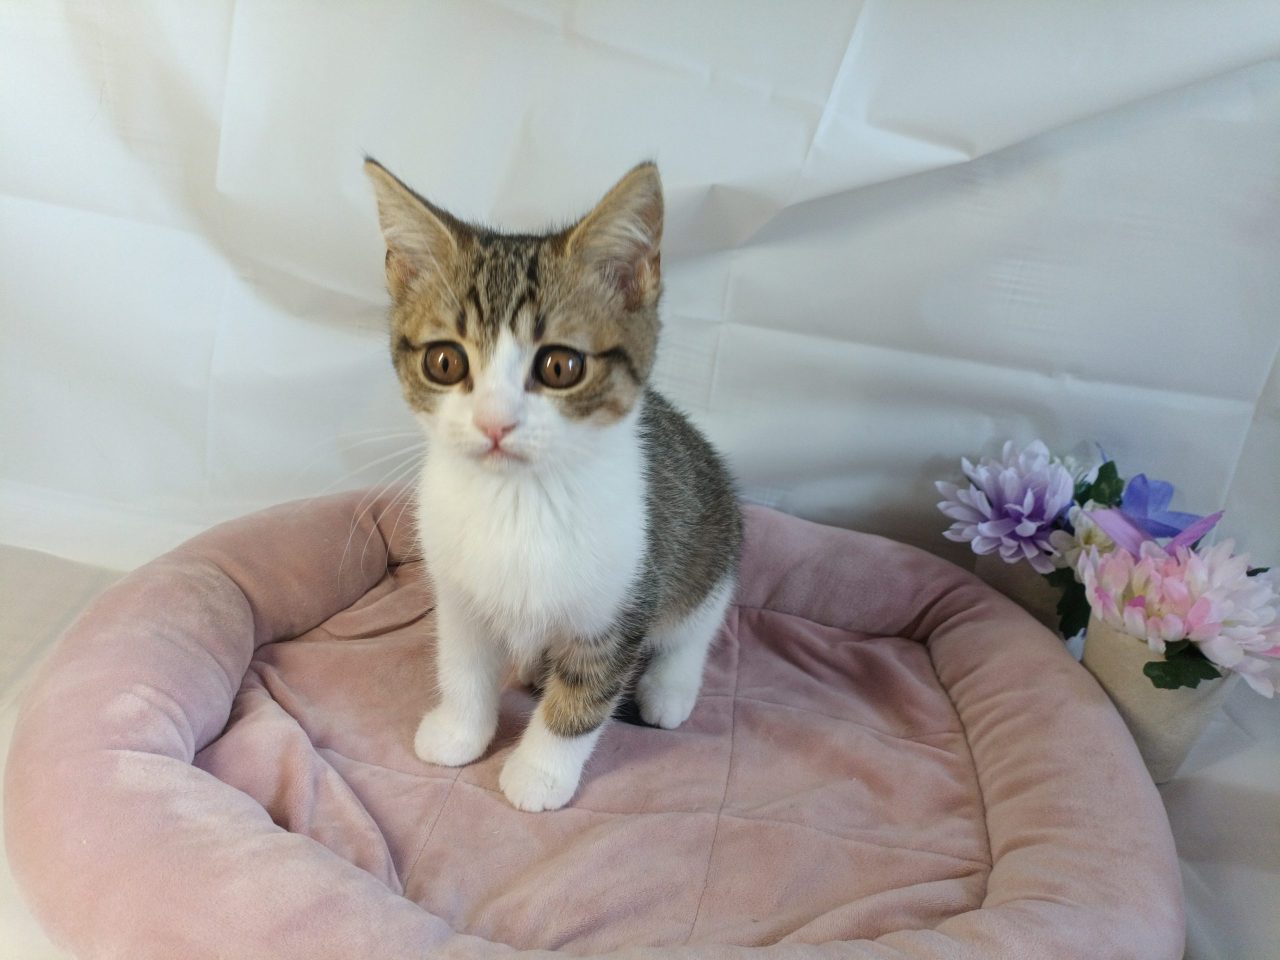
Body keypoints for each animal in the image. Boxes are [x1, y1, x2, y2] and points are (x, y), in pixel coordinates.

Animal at [364, 158, 742, 811]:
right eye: (444, 362)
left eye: (560, 366)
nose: (494, 422)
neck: (518, 499)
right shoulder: (458, 591)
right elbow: (462, 663)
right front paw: (460, 730)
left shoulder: (619, 602)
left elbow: (583, 698)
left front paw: (539, 774)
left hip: (709, 536)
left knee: (695, 621)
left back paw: (669, 687)